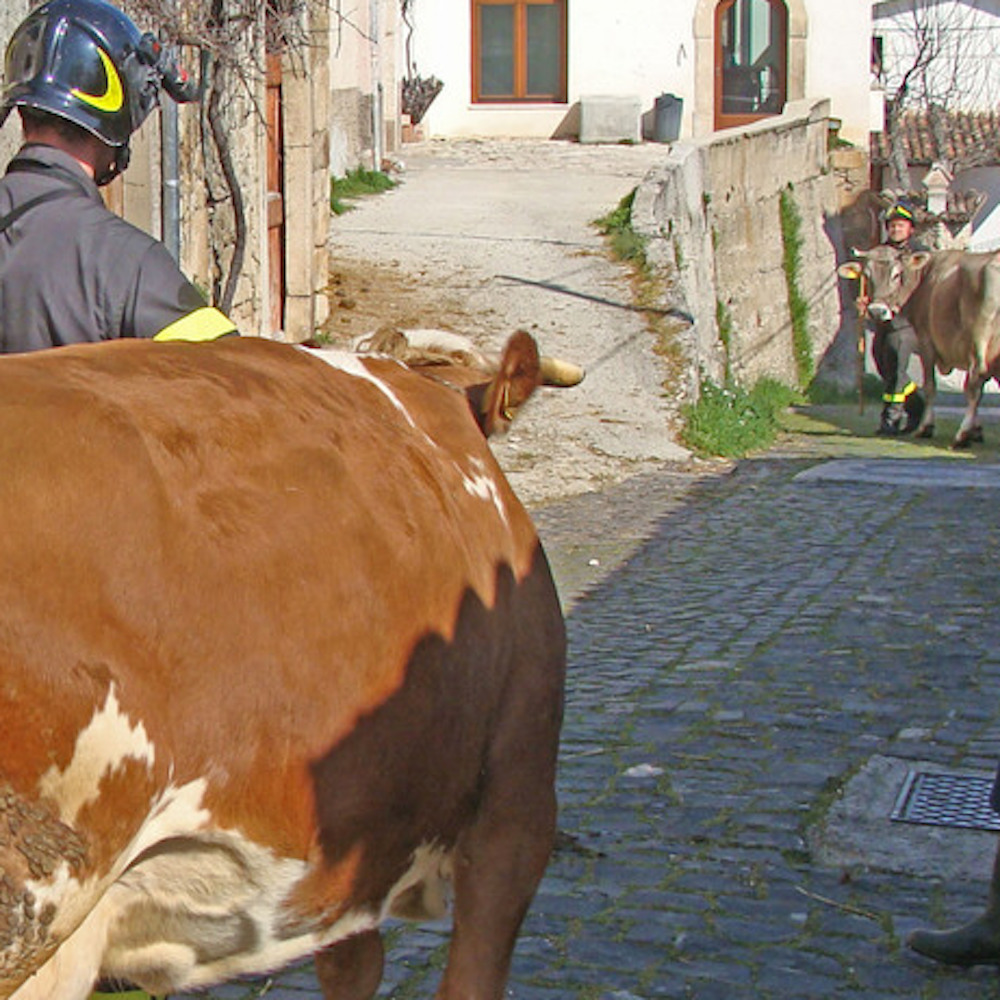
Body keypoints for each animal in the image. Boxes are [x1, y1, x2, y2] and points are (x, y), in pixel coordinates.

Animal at [840, 244, 1000, 448]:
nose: (876, 311)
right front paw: (977, 431)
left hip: (978, 342)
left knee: (973, 386)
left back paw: (961, 435)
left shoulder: (925, 341)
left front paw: (926, 427)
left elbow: (930, 386)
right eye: (867, 275)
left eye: (897, 274)